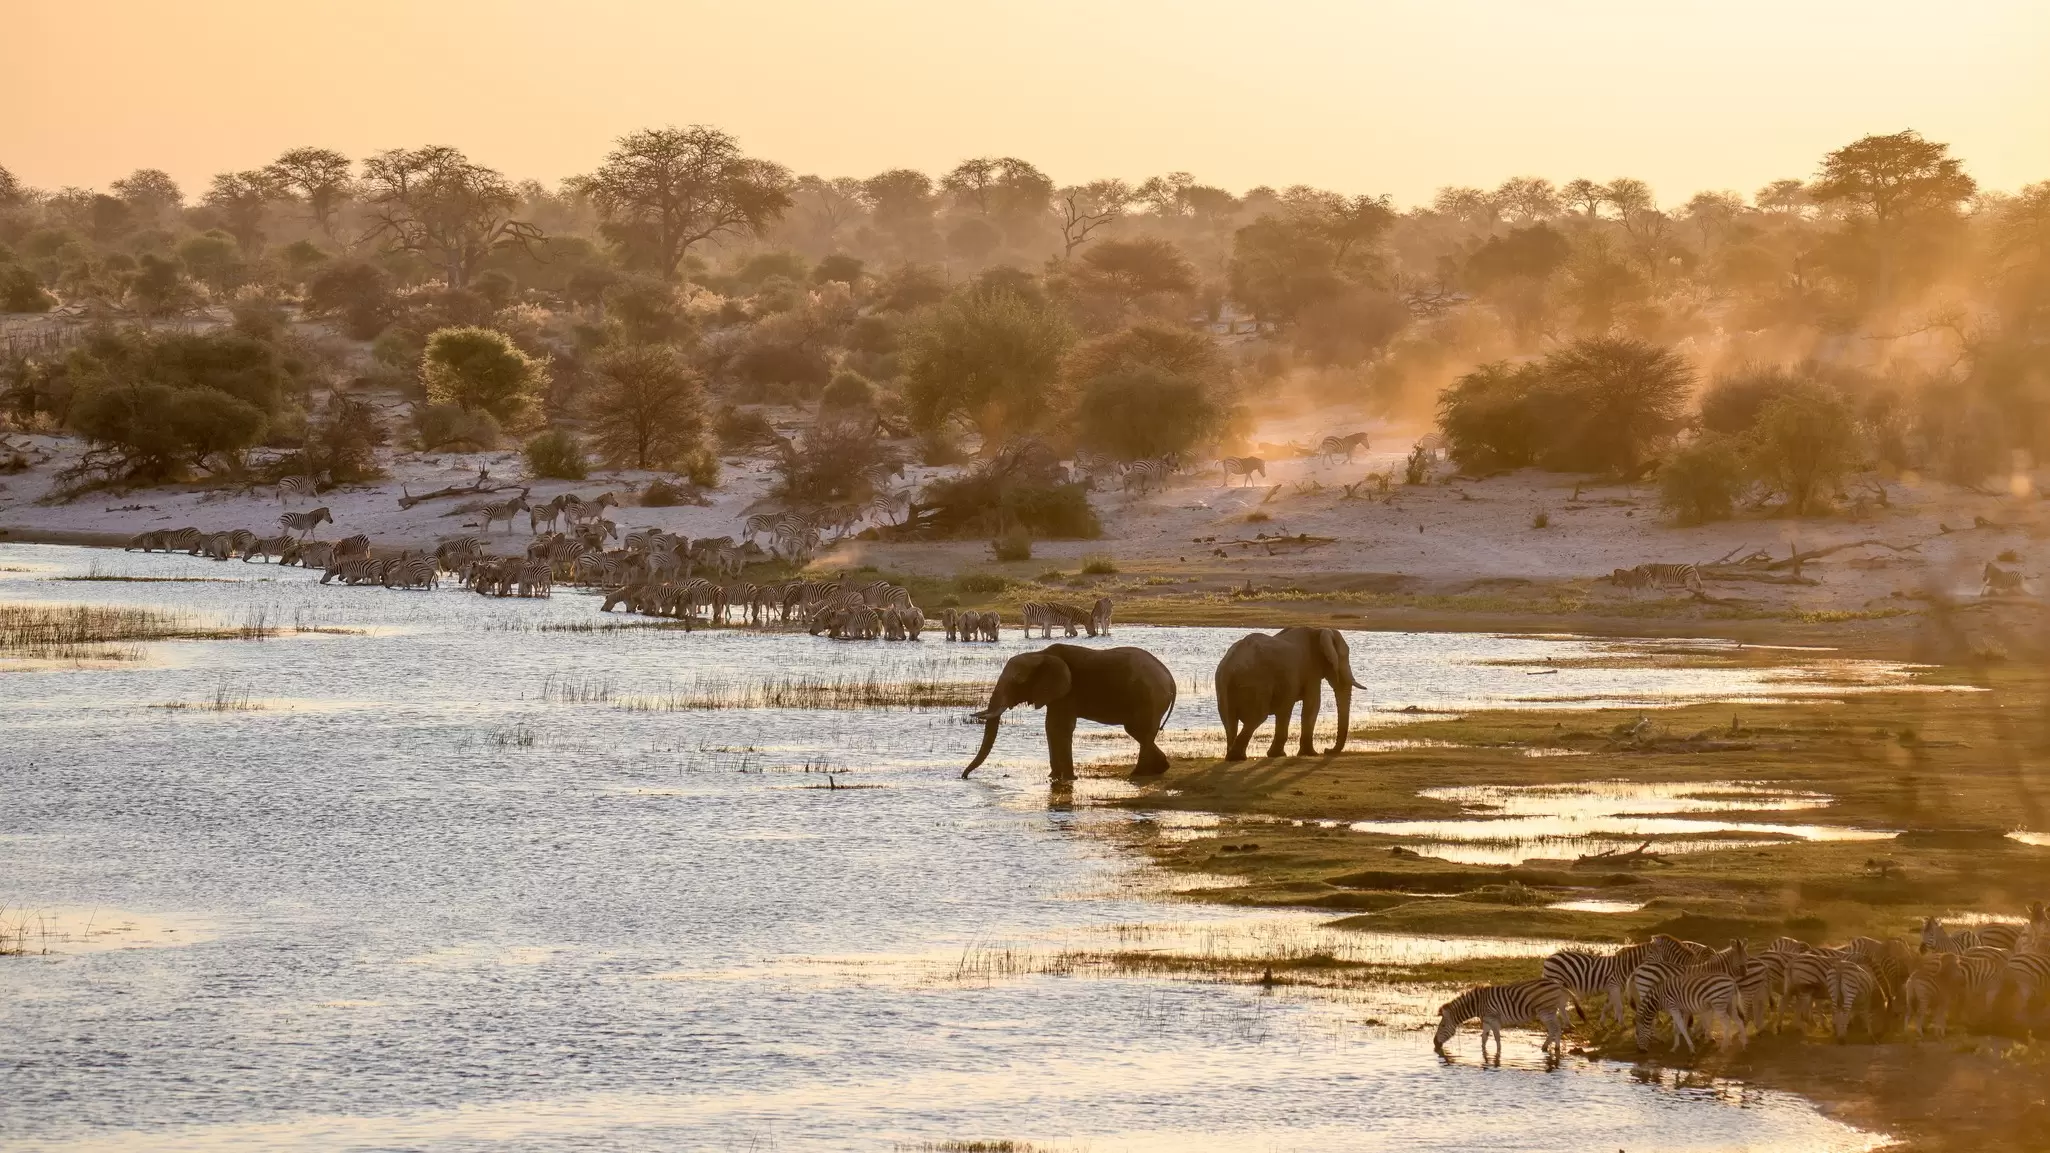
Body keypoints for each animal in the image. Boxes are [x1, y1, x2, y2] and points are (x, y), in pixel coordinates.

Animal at [962, 644, 1177, 781]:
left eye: (1017, 681)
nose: (964, 776)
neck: (1040, 654)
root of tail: (1170, 678)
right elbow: (1051, 727)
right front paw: (1055, 777)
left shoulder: (1067, 691)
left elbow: (1059, 727)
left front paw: (1066, 778)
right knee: (1141, 732)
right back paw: (1157, 770)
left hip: (1149, 698)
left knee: (1137, 730)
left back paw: (1143, 773)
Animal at [1214, 627, 1365, 760]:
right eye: (1344, 657)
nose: (1327, 750)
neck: (1319, 630)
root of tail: (1230, 667)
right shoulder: (1311, 669)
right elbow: (1313, 705)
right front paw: (1310, 754)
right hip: (1257, 683)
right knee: (1258, 717)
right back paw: (1237, 757)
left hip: (1223, 686)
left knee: (1229, 721)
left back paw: (1235, 756)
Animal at [1432, 978, 1570, 1059]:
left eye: (1442, 1026)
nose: (1434, 1043)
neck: (1478, 1004)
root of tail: (1558, 984)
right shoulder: (1487, 1020)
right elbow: (1484, 1038)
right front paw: (1484, 1053)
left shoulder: (1493, 1019)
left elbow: (1497, 1037)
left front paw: (1498, 1053)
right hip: (1551, 1011)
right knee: (1558, 1027)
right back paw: (1555, 1048)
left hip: (1545, 1011)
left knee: (1554, 1028)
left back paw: (1545, 1047)